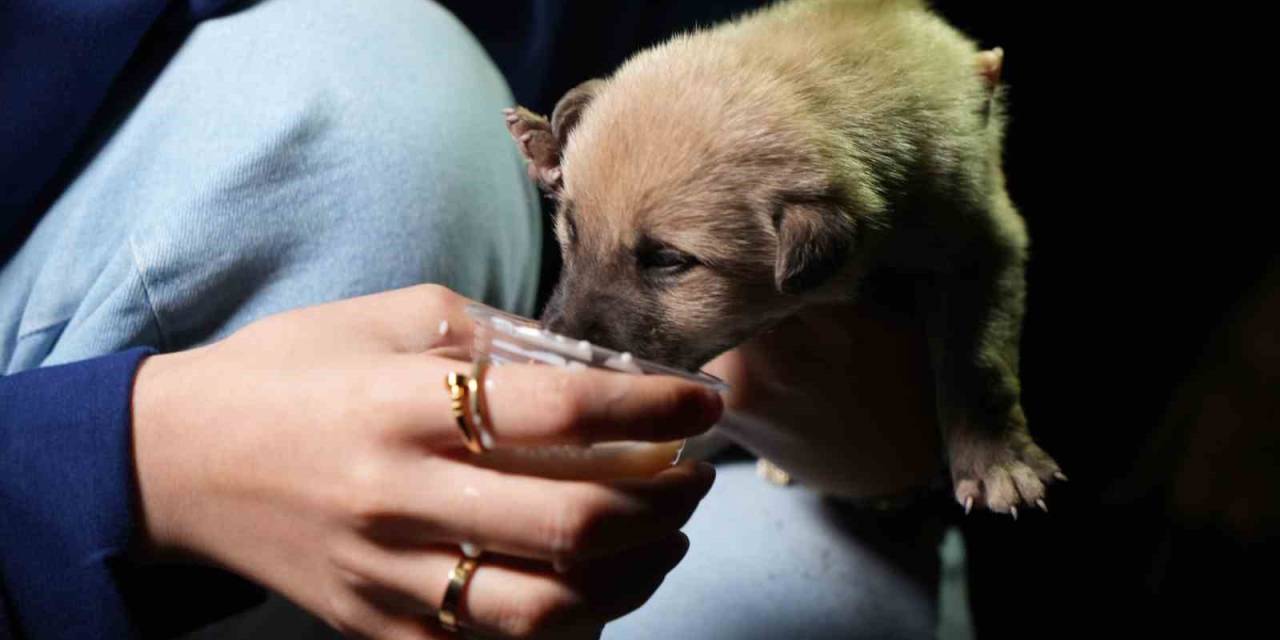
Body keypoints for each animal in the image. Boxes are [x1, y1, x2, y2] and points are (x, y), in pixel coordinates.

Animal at [504, 0, 1064, 512]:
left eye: (666, 260)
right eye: (572, 230)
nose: (558, 344)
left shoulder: (982, 239)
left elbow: (980, 360)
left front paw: (998, 461)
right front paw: (550, 147)